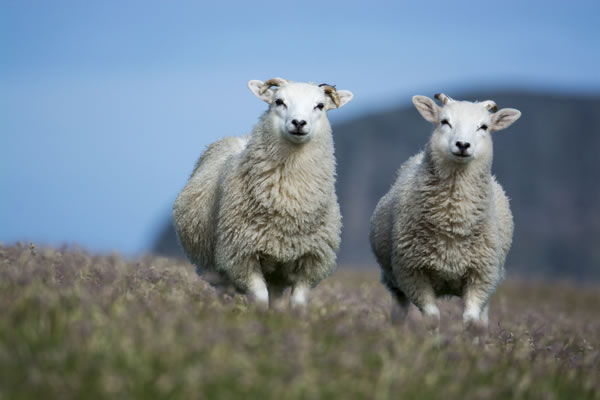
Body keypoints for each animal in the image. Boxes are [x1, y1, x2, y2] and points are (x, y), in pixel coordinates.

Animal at [172, 79, 352, 310]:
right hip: (214, 269)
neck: (288, 202)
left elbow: (297, 304)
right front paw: (258, 318)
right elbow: (259, 299)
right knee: (223, 292)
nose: (299, 123)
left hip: (276, 273)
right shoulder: (241, 256)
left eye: (320, 106)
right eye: (279, 101)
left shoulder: (311, 261)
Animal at [368, 94, 516, 332]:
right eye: (445, 121)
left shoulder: (482, 275)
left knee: (483, 319)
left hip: (493, 279)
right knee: (399, 313)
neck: (452, 222)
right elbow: (432, 318)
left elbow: (472, 321)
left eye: (484, 127)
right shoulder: (412, 273)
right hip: (394, 281)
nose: (463, 145)